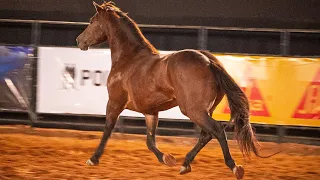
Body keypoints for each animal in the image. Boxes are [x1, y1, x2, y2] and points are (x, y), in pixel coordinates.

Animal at [76, 1, 262, 179]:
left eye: (91, 21)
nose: (79, 41)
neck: (129, 59)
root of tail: (208, 61)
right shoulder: (151, 112)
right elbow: (150, 141)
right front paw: (167, 158)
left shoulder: (114, 102)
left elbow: (107, 130)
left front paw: (93, 159)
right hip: (205, 109)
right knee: (206, 134)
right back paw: (185, 164)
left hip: (192, 110)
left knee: (216, 129)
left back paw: (234, 167)